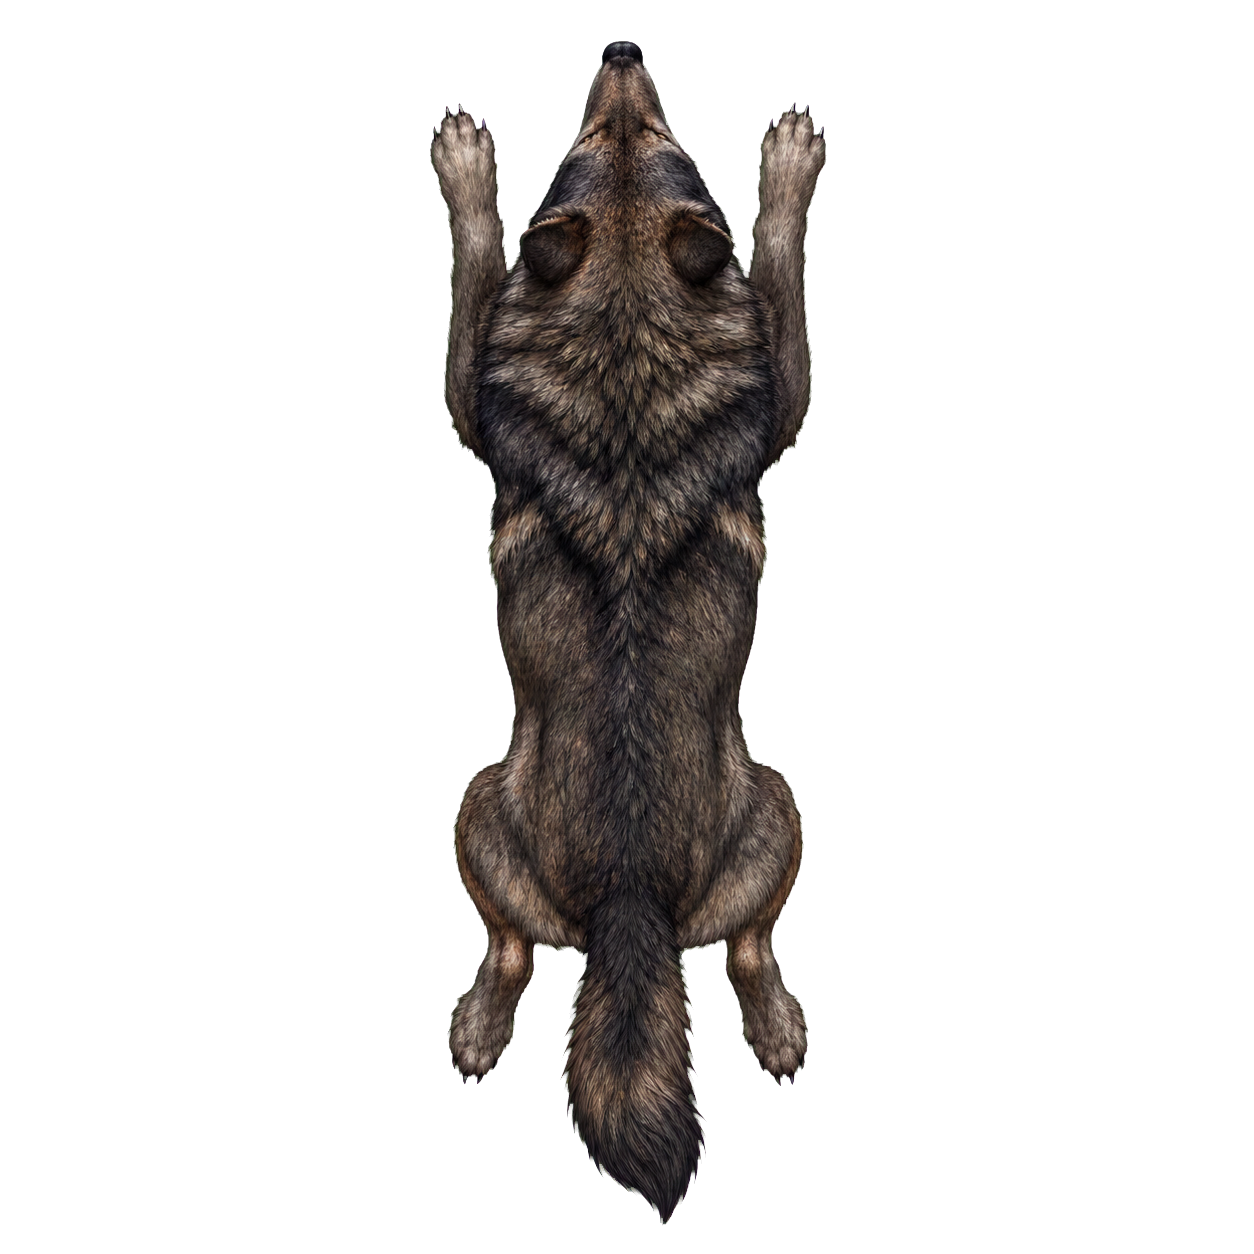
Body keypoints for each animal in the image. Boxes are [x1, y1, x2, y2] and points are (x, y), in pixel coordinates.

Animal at [431, 40, 825, 1224]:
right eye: (590, 138)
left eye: (657, 136)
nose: (620, 51)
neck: (626, 331)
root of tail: (629, 906)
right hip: (495, 809)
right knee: (529, 952)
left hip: (764, 809)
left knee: (739, 949)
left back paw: (775, 1029)